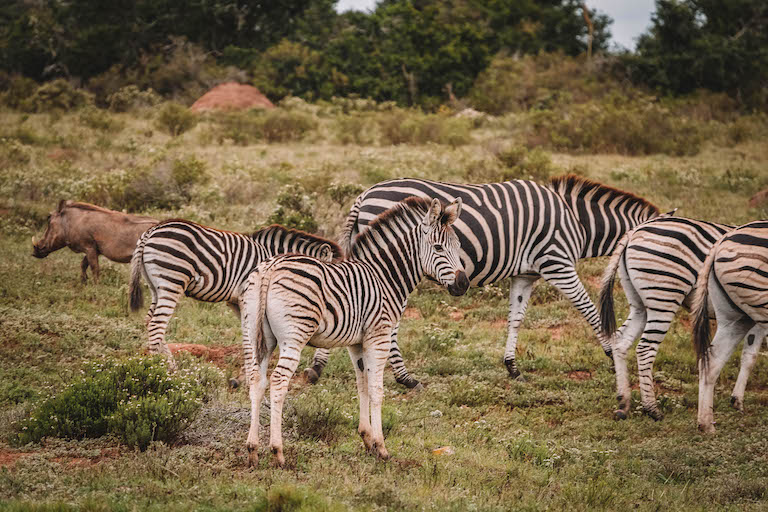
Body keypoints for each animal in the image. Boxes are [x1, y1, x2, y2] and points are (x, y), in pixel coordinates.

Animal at [129, 219, 342, 370]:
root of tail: (151, 231)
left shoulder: (238, 300)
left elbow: (248, 335)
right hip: (172, 280)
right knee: (157, 325)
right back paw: (162, 369)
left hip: (156, 286)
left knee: (150, 322)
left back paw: (166, 365)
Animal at [238, 196, 468, 466]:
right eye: (439, 248)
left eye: (458, 246)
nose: (463, 284)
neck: (385, 277)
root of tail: (270, 267)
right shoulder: (379, 335)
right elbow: (377, 390)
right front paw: (381, 447)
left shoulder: (356, 343)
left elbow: (362, 385)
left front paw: (366, 439)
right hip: (294, 335)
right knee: (278, 381)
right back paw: (278, 451)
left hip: (258, 334)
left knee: (256, 379)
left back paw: (252, 450)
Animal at [306, 175, 660, 387]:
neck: (576, 221)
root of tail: (365, 193)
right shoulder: (556, 262)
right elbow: (589, 310)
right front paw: (613, 354)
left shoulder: (525, 273)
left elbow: (516, 318)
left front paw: (512, 367)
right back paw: (403, 376)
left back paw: (318, 366)